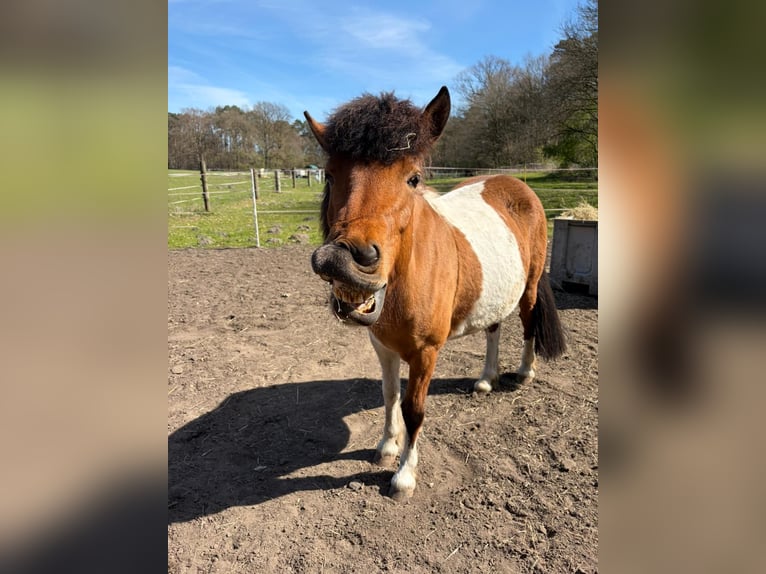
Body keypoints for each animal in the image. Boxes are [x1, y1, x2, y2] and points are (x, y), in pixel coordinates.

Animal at [304, 86, 566, 501]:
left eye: (413, 178)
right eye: (330, 175)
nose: (341, 260)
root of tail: (518, 185)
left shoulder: (426, 352)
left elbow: (414, 408)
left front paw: (404, 475)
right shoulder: (382, 345)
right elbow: (389, 395)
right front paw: (386, 446)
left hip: (529, 288)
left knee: (527, 325)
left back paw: (524, 373)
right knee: (493, 330)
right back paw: (486, 379)